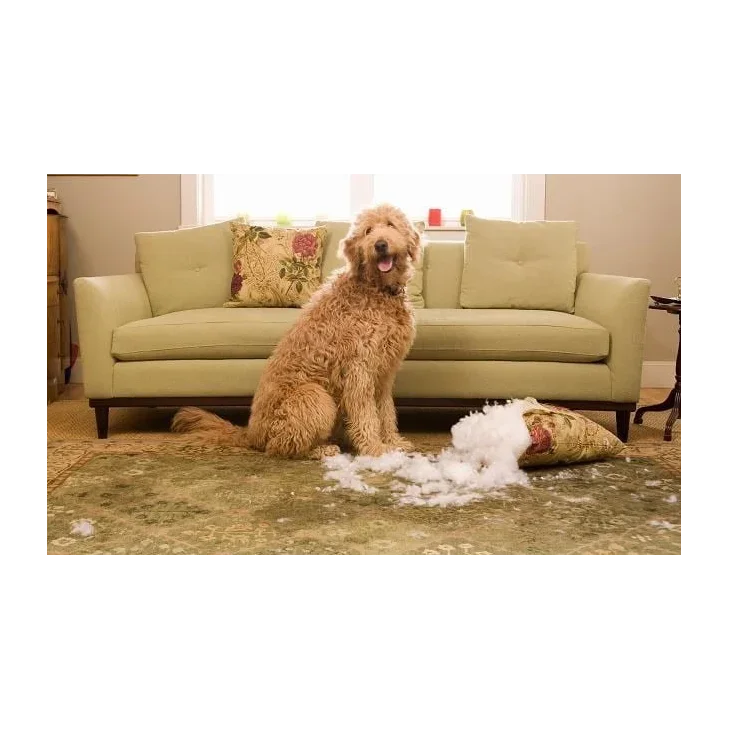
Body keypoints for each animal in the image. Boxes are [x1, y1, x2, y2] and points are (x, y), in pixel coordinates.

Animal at [172, 203, 423, 459]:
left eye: (391, 224)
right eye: (367, 231)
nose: (380, 244)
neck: (376, 289)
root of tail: (251, 434)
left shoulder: (384, 372)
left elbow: (386, 411)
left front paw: (392, 441)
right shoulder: (359, 370)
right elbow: (367, 414)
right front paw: (374, 448)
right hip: (314, 397)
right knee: (282, 446)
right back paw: (322, 449)